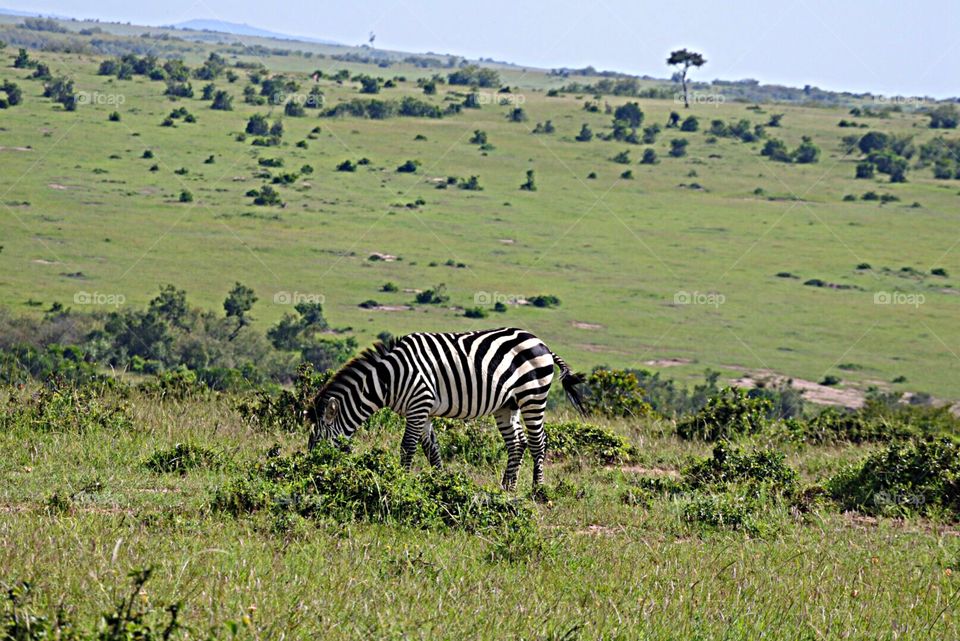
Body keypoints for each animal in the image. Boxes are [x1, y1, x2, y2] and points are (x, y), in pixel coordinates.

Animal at [308, 328, 584, 488]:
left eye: (318, 442)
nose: (313, 472)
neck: (388, 378)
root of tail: (541, 343)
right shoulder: (424, 410)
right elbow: (432, 449)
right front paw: (440, 483)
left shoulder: (419, 404)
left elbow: (408, 447)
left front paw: (401, 481)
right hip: (508, 405)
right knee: (517, 443)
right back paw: (507, 488)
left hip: (532, 395)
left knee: (538, 442)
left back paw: (537, 491)